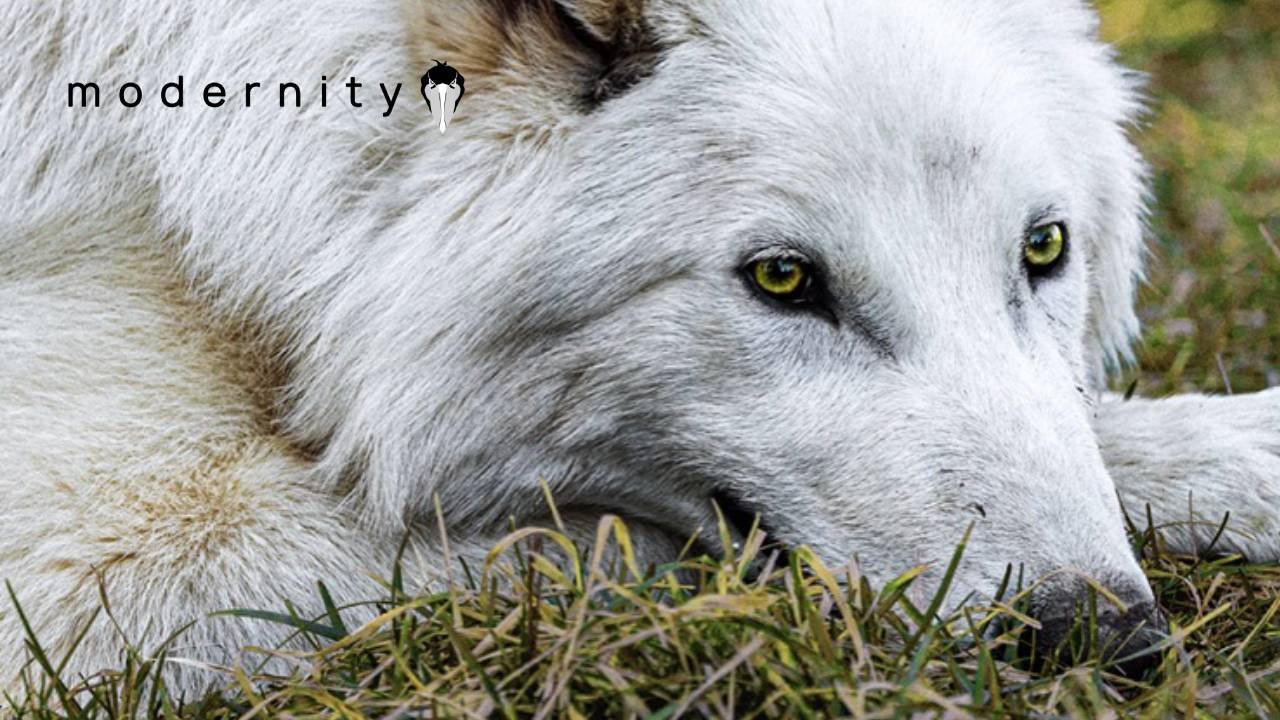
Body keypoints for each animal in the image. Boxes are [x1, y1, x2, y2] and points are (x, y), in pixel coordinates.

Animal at [1, 0, 1277, 697]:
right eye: (781, 279)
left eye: (1043, 247)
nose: (1097, 637)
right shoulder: (69, 570)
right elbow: (603, 541)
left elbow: (1097, 437)